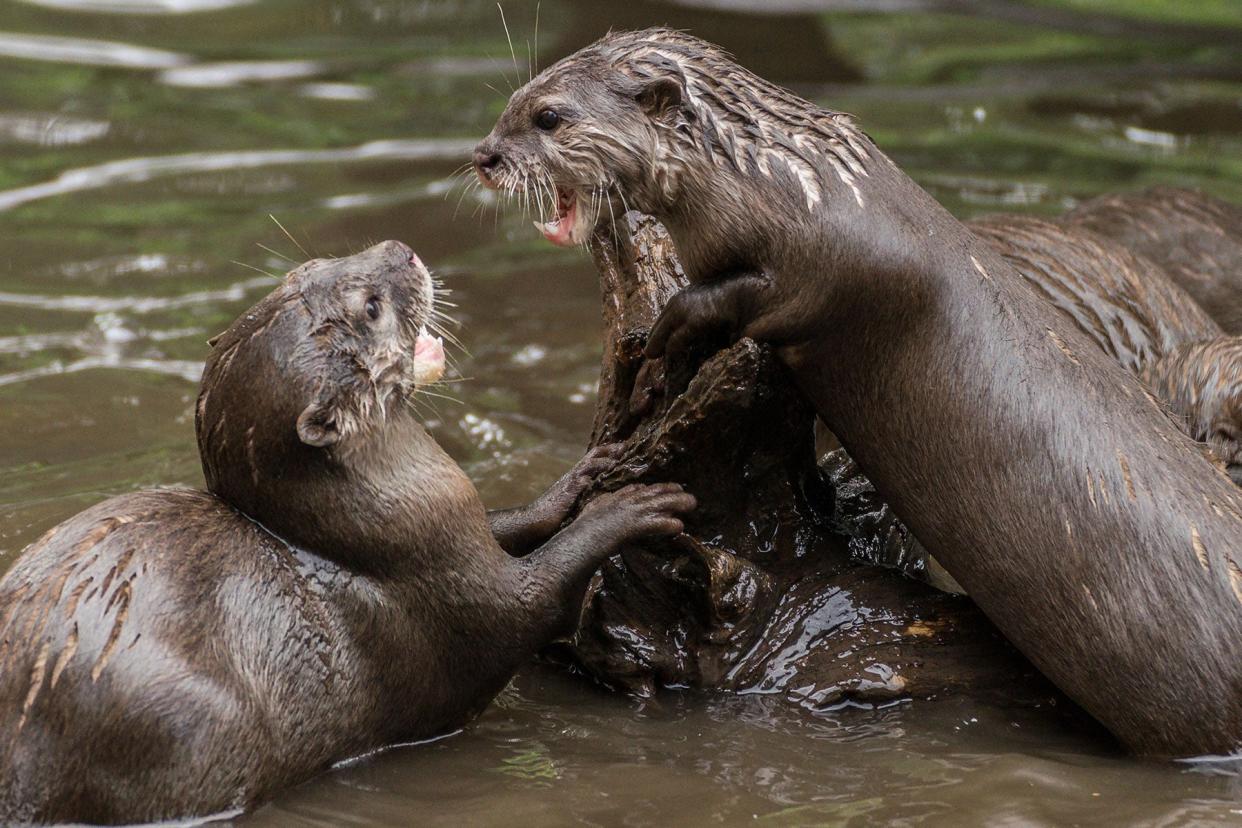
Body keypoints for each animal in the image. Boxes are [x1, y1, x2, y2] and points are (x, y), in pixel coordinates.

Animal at [0, 235, 700, 824]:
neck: (376, 531)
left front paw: (587, 475)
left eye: (313, 264)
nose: (402, 248)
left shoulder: (460, 527)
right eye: (371, 308)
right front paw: (630, 509)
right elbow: (538, 596)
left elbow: (506, 522)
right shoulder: (452, 599)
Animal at [474, 30, 1242, 759]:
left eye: (548, 117)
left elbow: (745, 294)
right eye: (512, 101)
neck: (790, 182)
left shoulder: (823, 268)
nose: (484, 155)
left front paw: (666, 331)